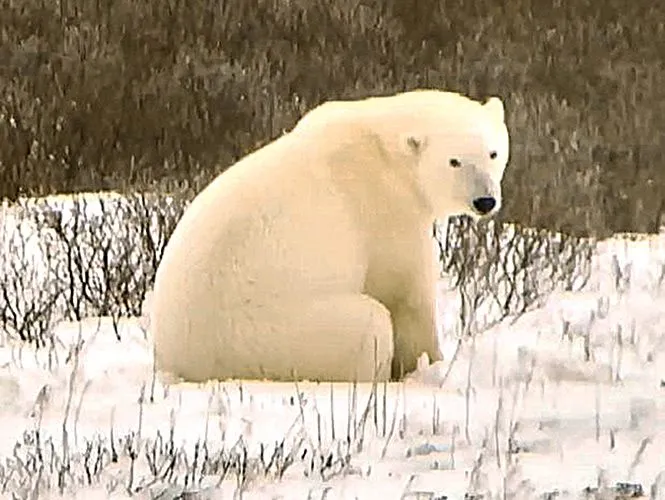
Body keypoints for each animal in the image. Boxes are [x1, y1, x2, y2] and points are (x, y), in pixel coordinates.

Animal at [150, 89, 510, 382]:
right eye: (454, 161)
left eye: (493, 153)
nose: (485, 201)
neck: (383, 149)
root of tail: (181, 362)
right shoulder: (385, 211)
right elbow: (406, 292)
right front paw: (431, 365)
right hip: (280, 334)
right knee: (369, 323)